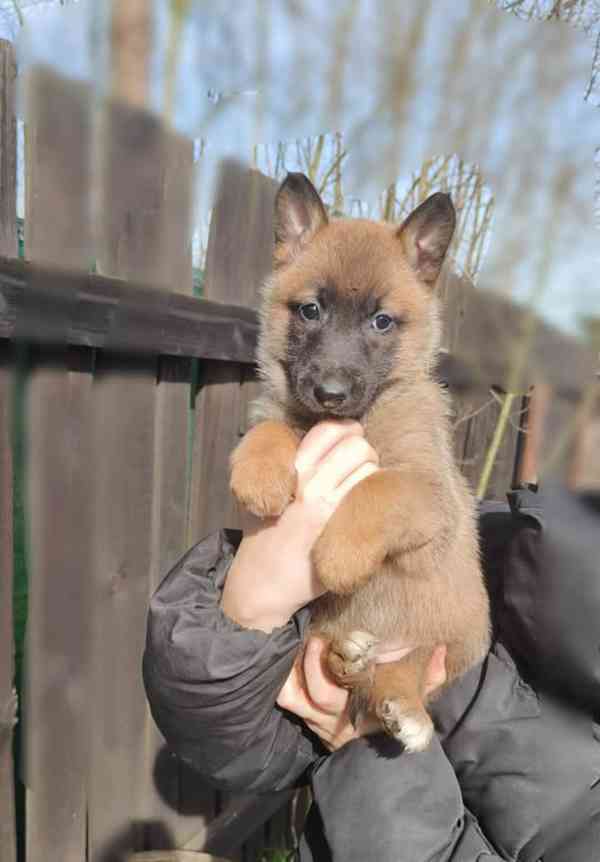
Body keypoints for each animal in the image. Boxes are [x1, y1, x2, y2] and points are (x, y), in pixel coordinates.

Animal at [231, 172, 492, 752]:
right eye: (311, 310)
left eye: (382, 321)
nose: (330, 393)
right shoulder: (283, 415)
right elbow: (268, 426)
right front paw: (258, 474)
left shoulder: (429, 493)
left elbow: (378, 488)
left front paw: (337, 558)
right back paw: (346, 657)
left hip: (451, 637)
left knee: (405, 669)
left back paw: (404, 707)